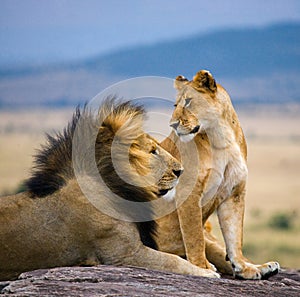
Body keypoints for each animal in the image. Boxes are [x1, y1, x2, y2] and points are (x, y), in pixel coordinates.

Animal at [156, 70, 280, 278]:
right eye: (175, 105)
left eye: (188, 102)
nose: (172, 124)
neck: (221, 138)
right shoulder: (188, 192)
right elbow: (194, 236)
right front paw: (202, 267)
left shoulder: (234, 193)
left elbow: (235, 236)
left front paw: (244, 268)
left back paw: (264, 267)